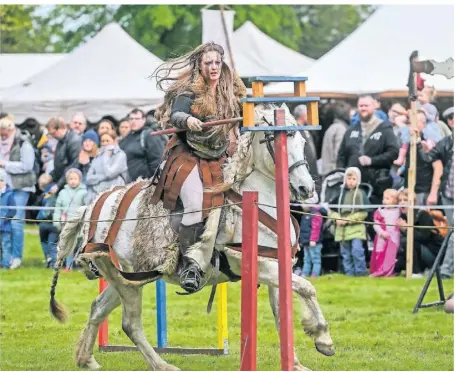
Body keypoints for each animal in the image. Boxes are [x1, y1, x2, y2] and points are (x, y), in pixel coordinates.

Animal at [49, 103, 334, 370]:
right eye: (276, 140)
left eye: (303, 142)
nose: (306, 188)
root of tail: (92, 206)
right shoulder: (258, 266)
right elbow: (307, 288)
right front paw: (323, 338)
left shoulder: (275, 267)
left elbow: (282, 313)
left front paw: (296, 362)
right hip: (128, 279)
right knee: (130, 323)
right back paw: (162, 365)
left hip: (124, 278)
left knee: (98, 308)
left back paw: (87, 359)